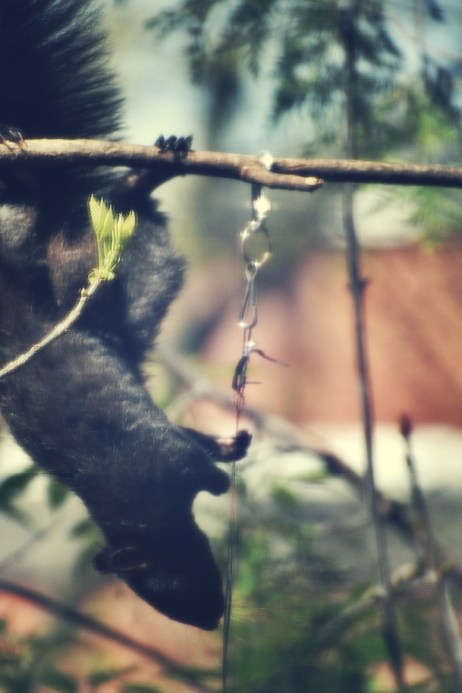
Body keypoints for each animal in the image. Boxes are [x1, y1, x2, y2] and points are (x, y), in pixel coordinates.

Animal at [0, 0, 250, 630]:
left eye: (169, 580)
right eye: (164, 597)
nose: (211, 620)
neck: (136, 510)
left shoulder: (167, 465)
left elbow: (204, 476)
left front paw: (222, 471)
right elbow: (198, 452)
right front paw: (227, 446)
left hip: (60, 256)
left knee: (53, 204)